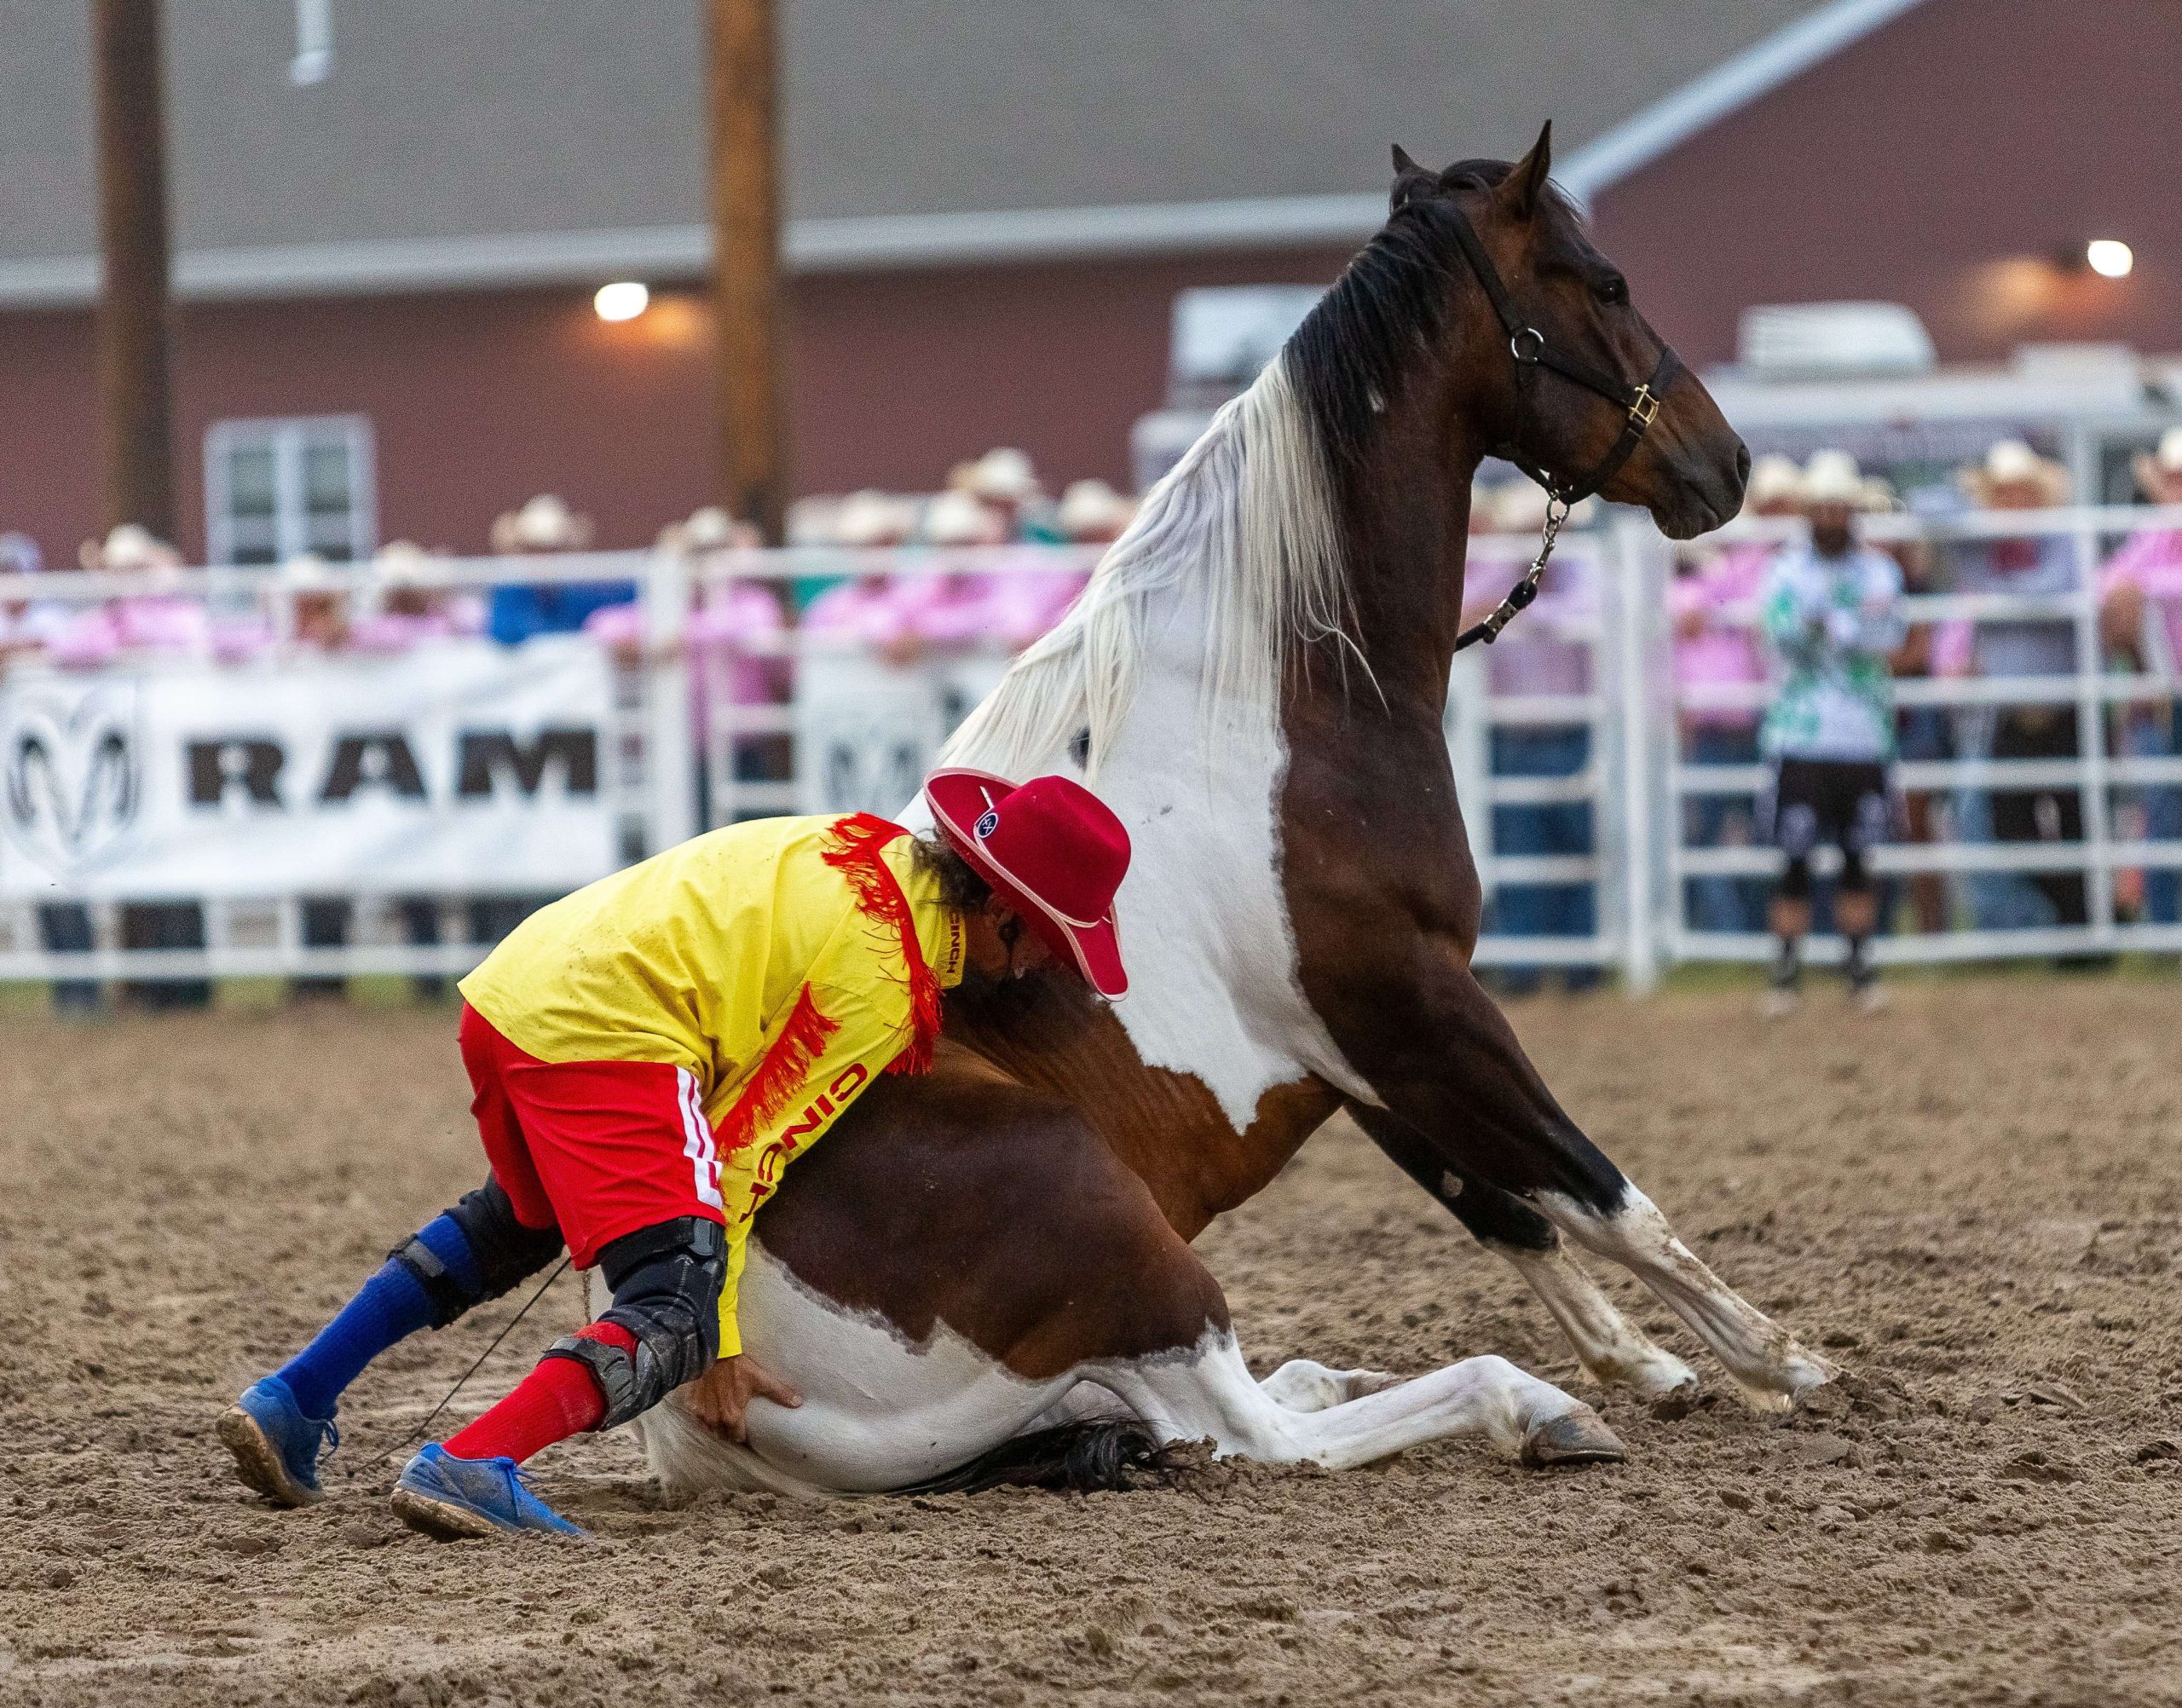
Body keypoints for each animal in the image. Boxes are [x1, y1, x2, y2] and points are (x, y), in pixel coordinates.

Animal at [607, 126, 1832, 1499]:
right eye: (1604, 282)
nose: (1727, 463)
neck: (1273, 689)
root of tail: (696, 1397)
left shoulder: (1359, 1050)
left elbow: (1507, 1205)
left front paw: (1656, 1363)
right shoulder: (1416, 1002)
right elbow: (1599, 1192)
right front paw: (1778, 1361)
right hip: (1118, 1224)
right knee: (1253, 1428)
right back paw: (1524, 1405)